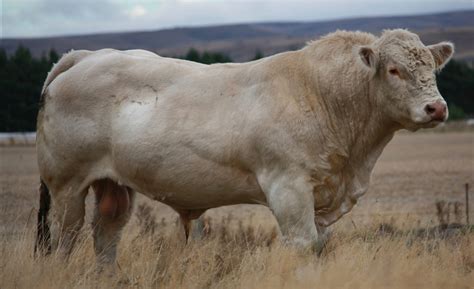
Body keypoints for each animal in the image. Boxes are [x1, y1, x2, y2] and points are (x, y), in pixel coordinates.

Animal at [36, 28, 452, 264]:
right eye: (394, 70)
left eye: (432, 68)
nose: (436, 107)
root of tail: (89, 56)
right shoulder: (288, 188)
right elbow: (303, 247)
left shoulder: (324, 196)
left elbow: (320, 247)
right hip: (66, 186)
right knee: (64, 240)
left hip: (113, 186)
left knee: (106, 237)